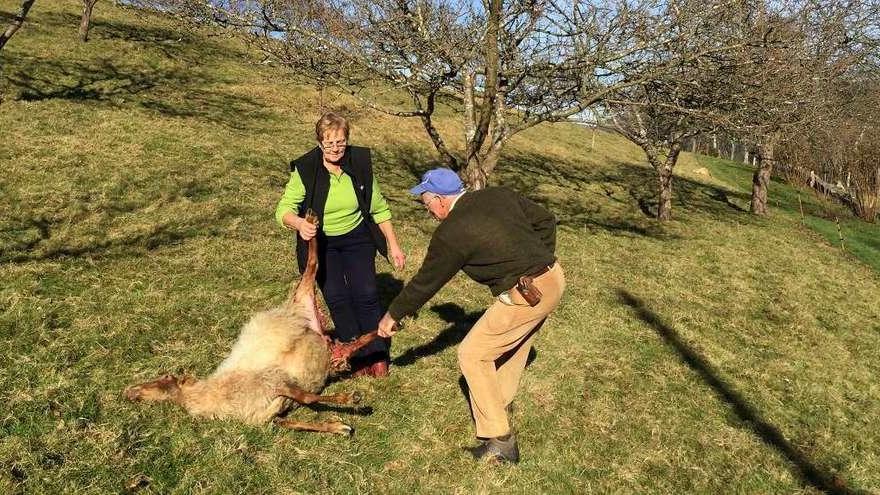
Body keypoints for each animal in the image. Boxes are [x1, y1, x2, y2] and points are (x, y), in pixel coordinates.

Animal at [124, 212, 378, 435]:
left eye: (166, 377)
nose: (129, 391)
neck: (205, 396)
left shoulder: (273, 381)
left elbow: (307, 396)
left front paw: (350, 398)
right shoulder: (268, 414)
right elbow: (293, 421)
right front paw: (338, 427)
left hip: (301, 298)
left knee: (312, 266)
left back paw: (311, 220)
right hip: (326, 343)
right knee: (360, 340)